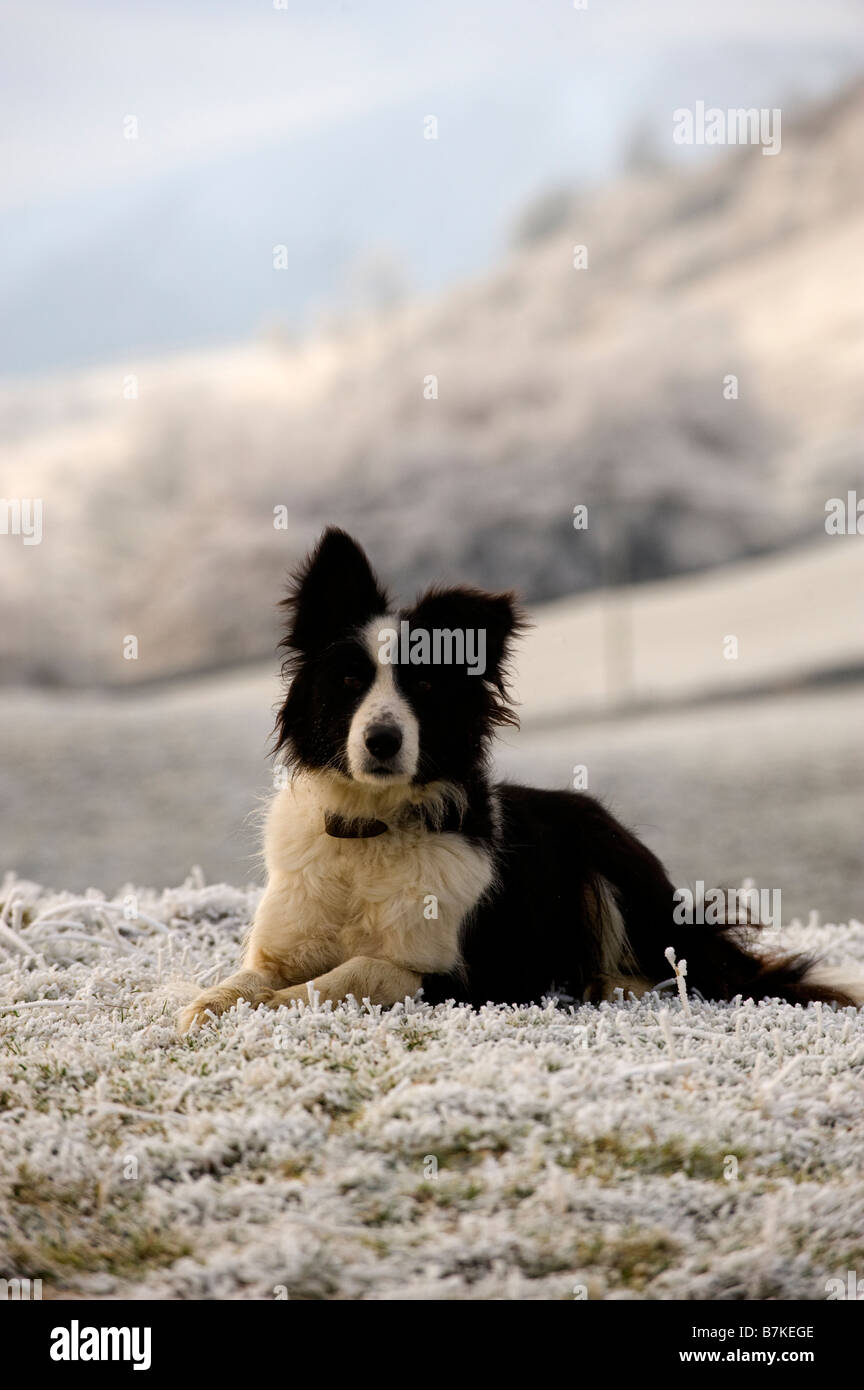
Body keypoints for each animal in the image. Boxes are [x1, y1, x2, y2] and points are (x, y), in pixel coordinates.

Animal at [179, 525, 861, 1028]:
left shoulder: (451, 971)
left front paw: (275, 1004)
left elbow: (351, 974)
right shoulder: (281, 944)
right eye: (348, 679)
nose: (382, 741)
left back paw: (607, 983)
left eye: (425, 685)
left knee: (679, 969)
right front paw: (207, 1006)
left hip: (607, 868)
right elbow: (243, 978)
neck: (371, 827)